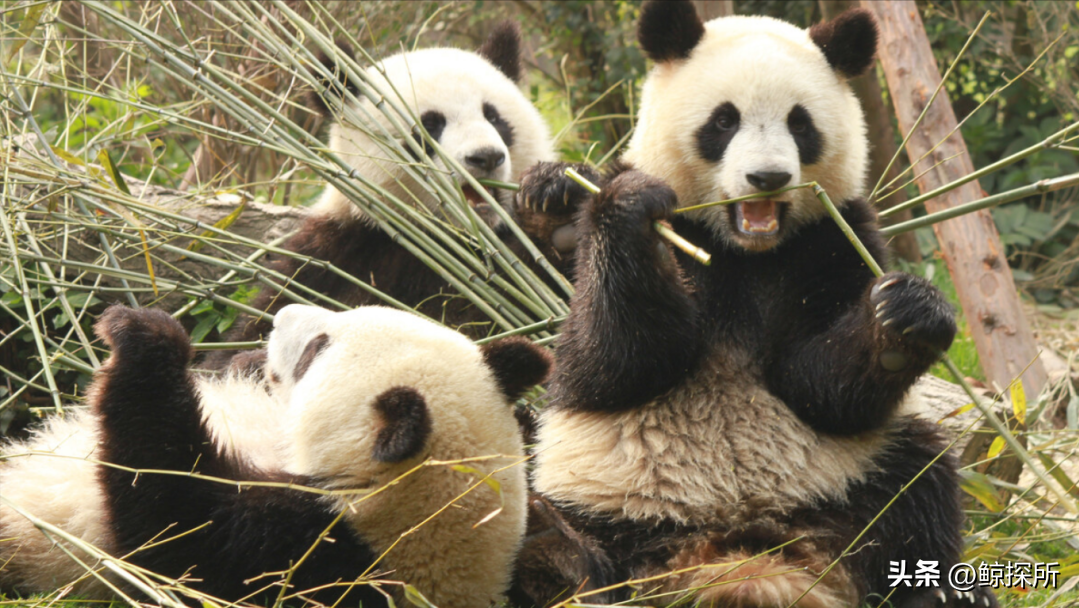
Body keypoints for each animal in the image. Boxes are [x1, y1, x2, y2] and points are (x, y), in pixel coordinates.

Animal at [0, 304, 552, 608]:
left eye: (316, 349)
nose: (280, 315)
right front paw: (239, 360)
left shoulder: (288, 555)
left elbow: (165, 523)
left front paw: (146, 336)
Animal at [209, 21, 582, 369]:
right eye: (430, 126)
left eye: (494, 117)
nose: (486, 157)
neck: (450, 243)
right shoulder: (338, 256)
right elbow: (239, 346)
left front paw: (553, 197)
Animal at [513, 4, 992, 608]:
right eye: (724, 122)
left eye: (800, 124)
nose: (768, 177)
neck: (744, 251)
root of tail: (733, 552)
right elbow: (610, 362)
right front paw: (615, 208)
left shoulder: (833, 239)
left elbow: (821, 386)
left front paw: (907, 318)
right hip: (601, 490)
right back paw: (559, 554)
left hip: (852, 473)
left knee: (916, 485)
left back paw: (944, 592)